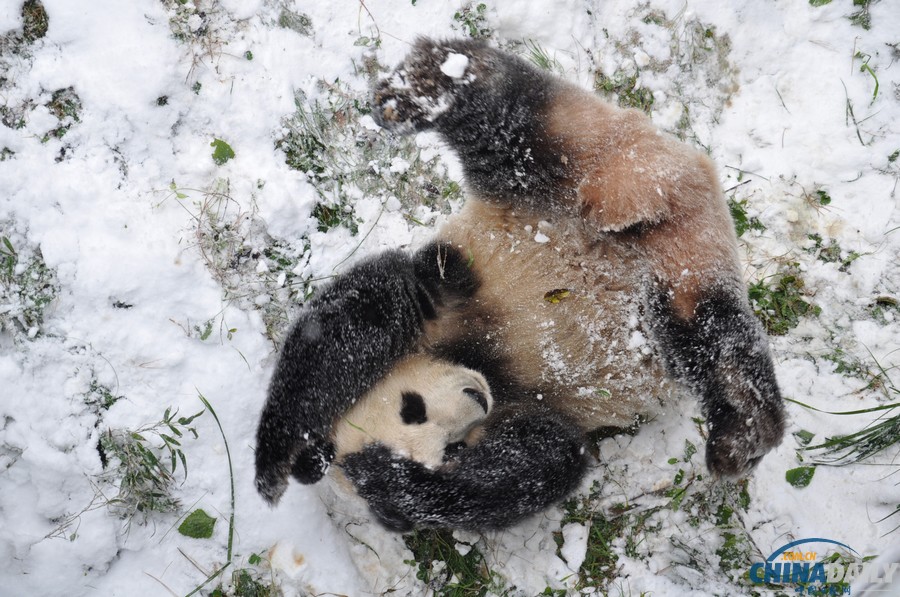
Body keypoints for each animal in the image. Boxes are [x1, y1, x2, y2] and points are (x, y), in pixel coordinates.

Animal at [251, 37, 780, 532]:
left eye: (411, 408)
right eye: (451, 447)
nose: (473, 400)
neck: (480, 359)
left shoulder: (445, 288)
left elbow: (354, 320)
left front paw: (277, 463)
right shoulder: (523, 408)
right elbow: (535, 465)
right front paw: (394, 487)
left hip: (569, 178)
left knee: (511, 121)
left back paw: (426, 83)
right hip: (667, 259)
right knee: (708, 330)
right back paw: (746, 427)